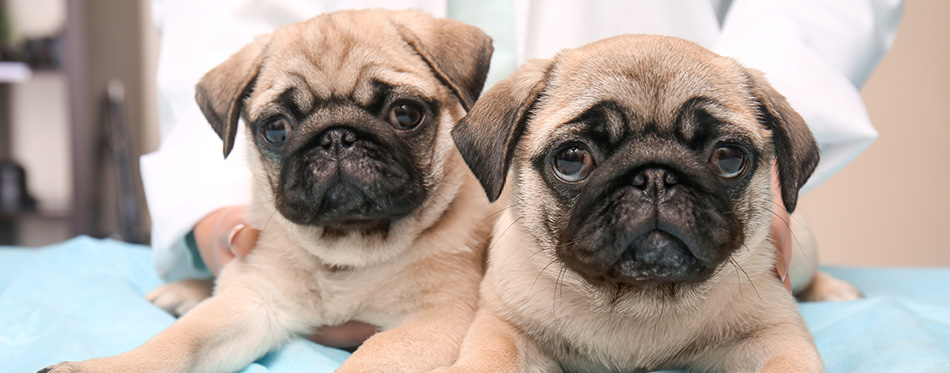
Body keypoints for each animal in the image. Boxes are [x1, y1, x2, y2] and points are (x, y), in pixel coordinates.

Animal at [41, 9, 494, 372]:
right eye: (276, 129)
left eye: (405, 114)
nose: (337, 137)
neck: (348, 253)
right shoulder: (252, 301)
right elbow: (175, 343)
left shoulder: (436, 321)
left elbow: (373, 357)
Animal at [442, 34, 828, 370]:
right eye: (571, 159)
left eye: (729, 158)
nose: (655, 177)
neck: (639, 301)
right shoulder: (504, 324)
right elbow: (495, 357)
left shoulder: (774, 330)